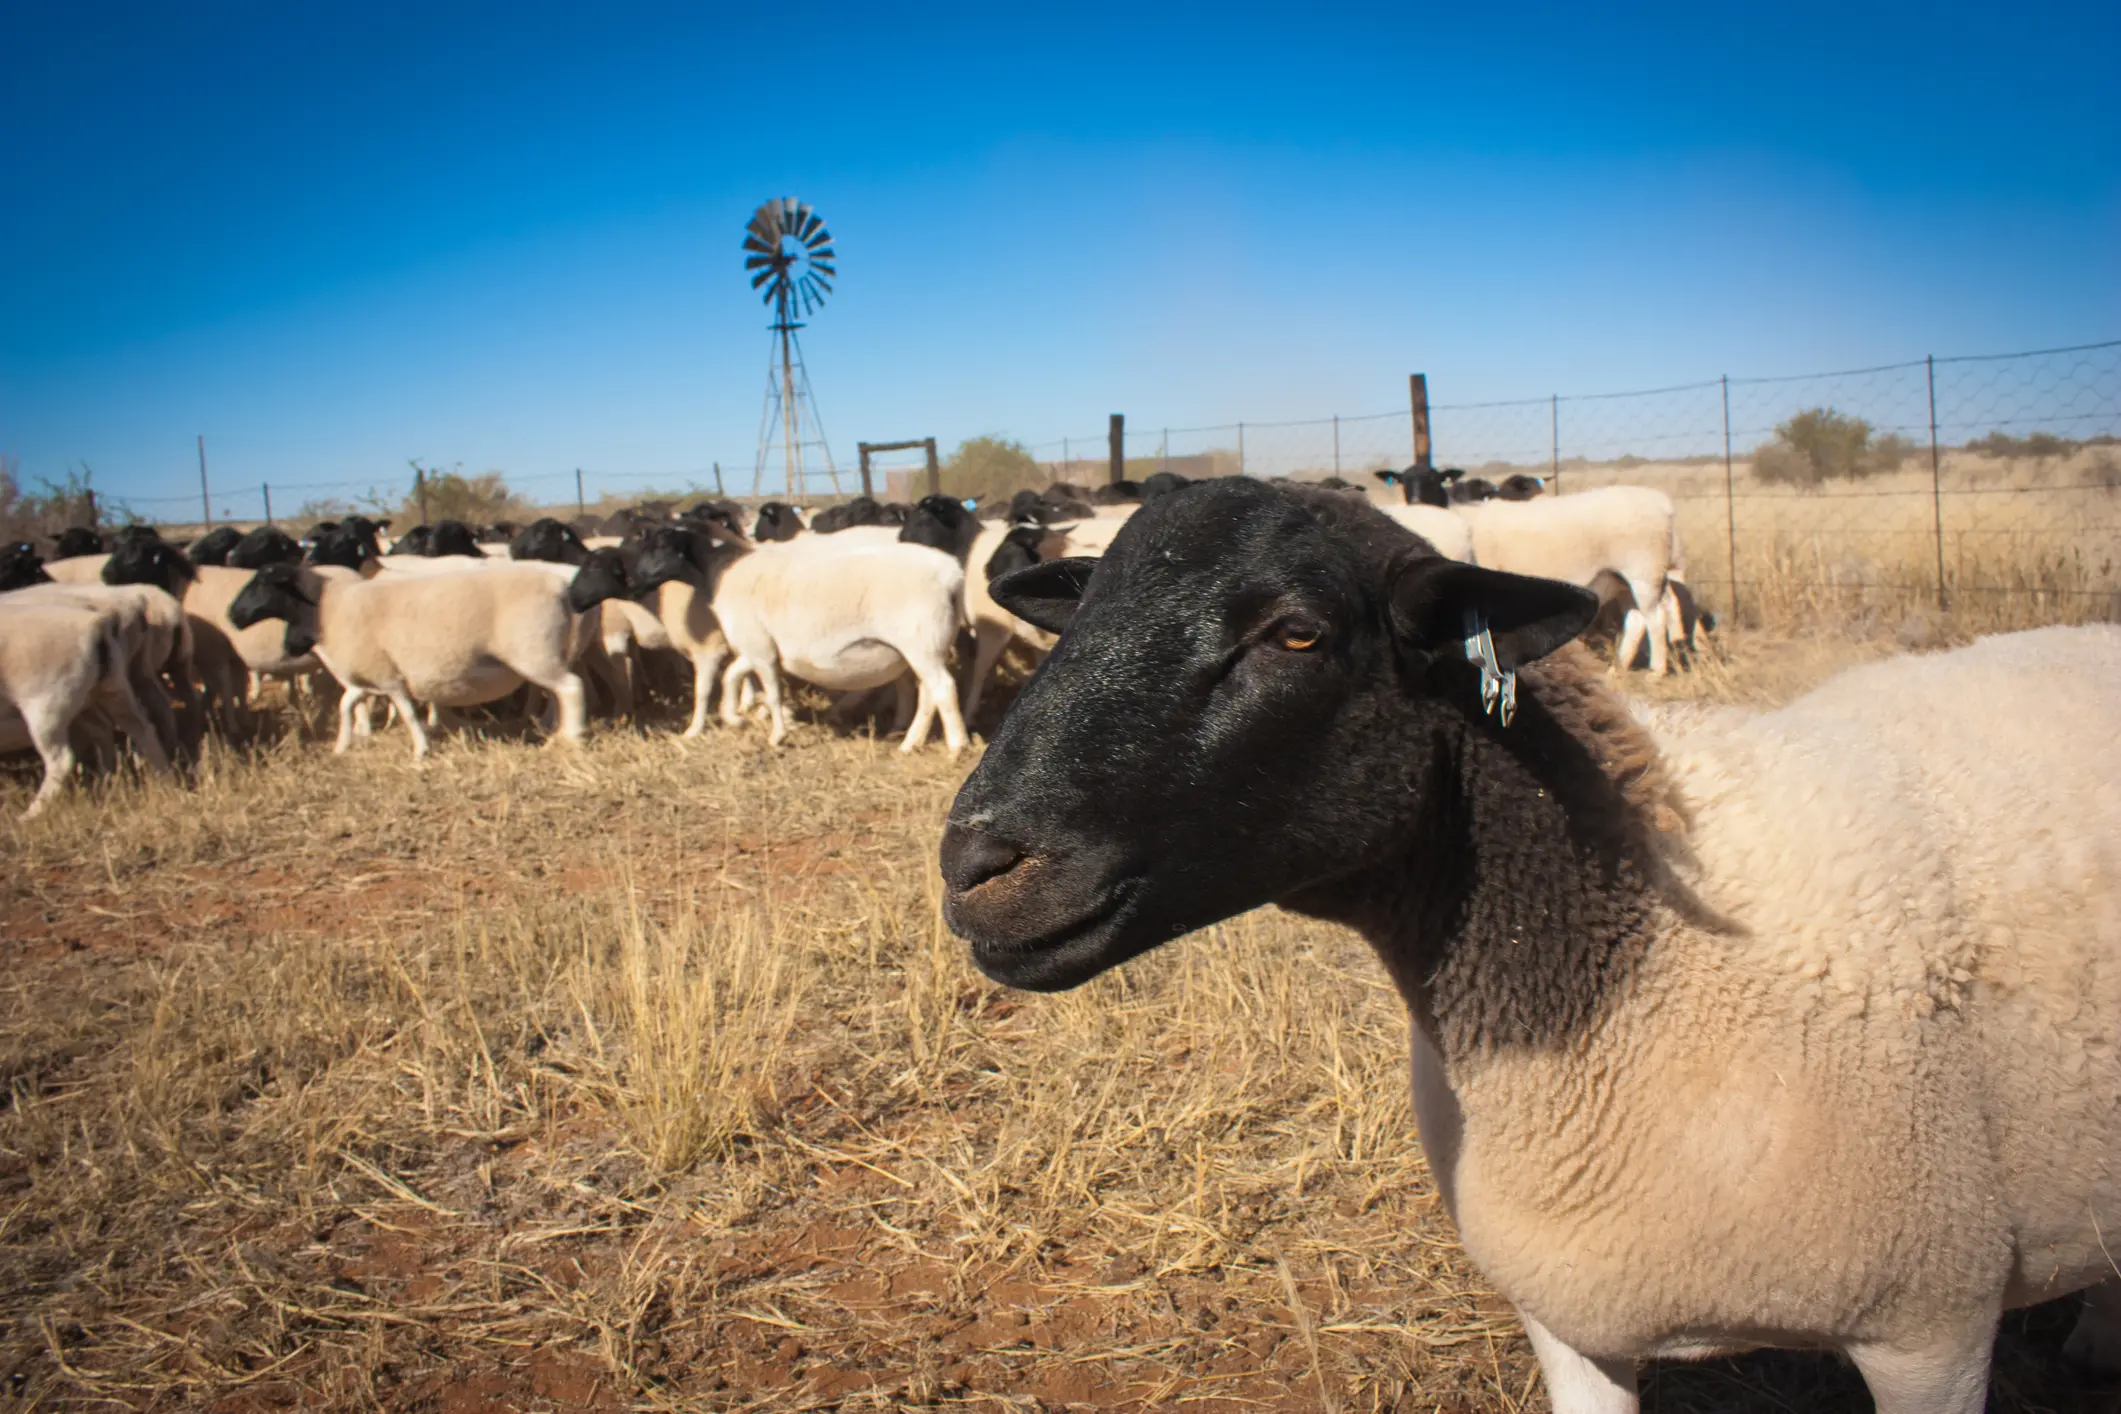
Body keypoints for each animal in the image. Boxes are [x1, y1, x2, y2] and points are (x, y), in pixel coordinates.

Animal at [227, 559, 629, 757]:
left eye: (262, 582)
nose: (233, 615)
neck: (328, 609)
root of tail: (563, 587)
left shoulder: (389, 676)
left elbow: (405, 712)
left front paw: (421, 750)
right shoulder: (368, 675)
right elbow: (347, 704)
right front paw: (343, 745)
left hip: (535, 654)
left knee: (570, 688)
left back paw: (572, 737)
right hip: (548, 654)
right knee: (562, 691)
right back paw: (556, 729)